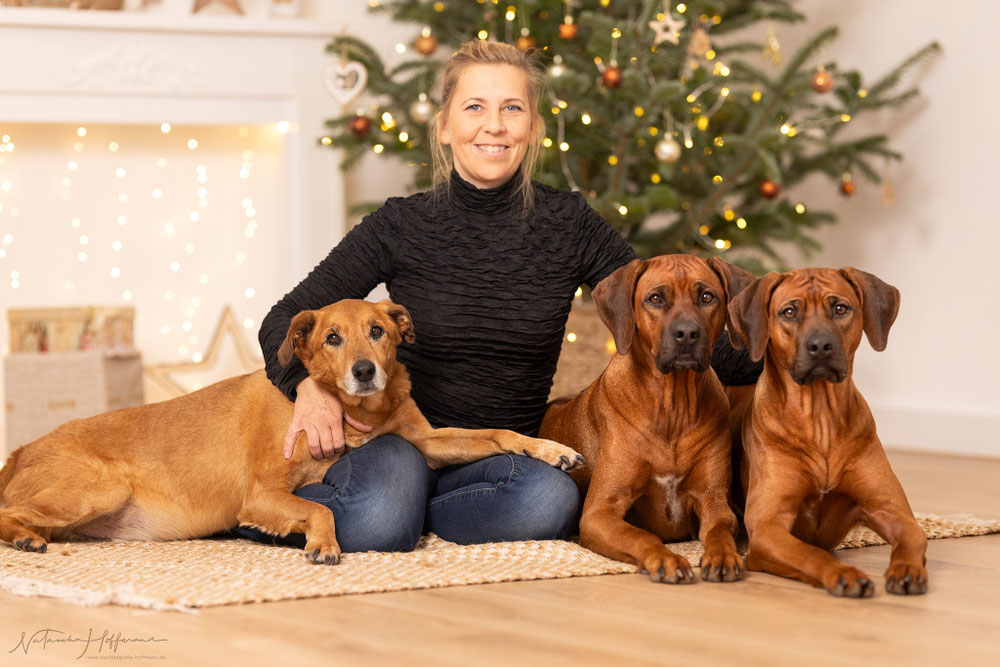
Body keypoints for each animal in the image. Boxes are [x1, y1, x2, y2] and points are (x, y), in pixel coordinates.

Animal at [0, 300, 584, 568]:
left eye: (378, 331)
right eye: (332, 338)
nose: (365, 371)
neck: (354, 412)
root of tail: (21, 449)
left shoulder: (426, 441)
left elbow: (498, 432)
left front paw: (549, 448)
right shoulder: (260, 495)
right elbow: (320, 509)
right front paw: (323, 543)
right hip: (99, 488)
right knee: (9, 512)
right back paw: (25, 538)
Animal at [544, 256, 752, 584]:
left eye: (707, 297)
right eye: (655, 298)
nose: (687, 334)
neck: (672, 408)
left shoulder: (715, 502)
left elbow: (720, 532)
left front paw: (724, 556)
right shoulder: (599, 512)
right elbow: (641, 535)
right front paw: (665, 559)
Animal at [728, 268, 928, 596]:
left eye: (840, 308)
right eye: (789, 312)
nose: (821, 346)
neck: (819, 419)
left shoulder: (891, 510)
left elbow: (912, 537)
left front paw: (906, 569)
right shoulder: (768, 526)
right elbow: (808, 552)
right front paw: (842, 573)